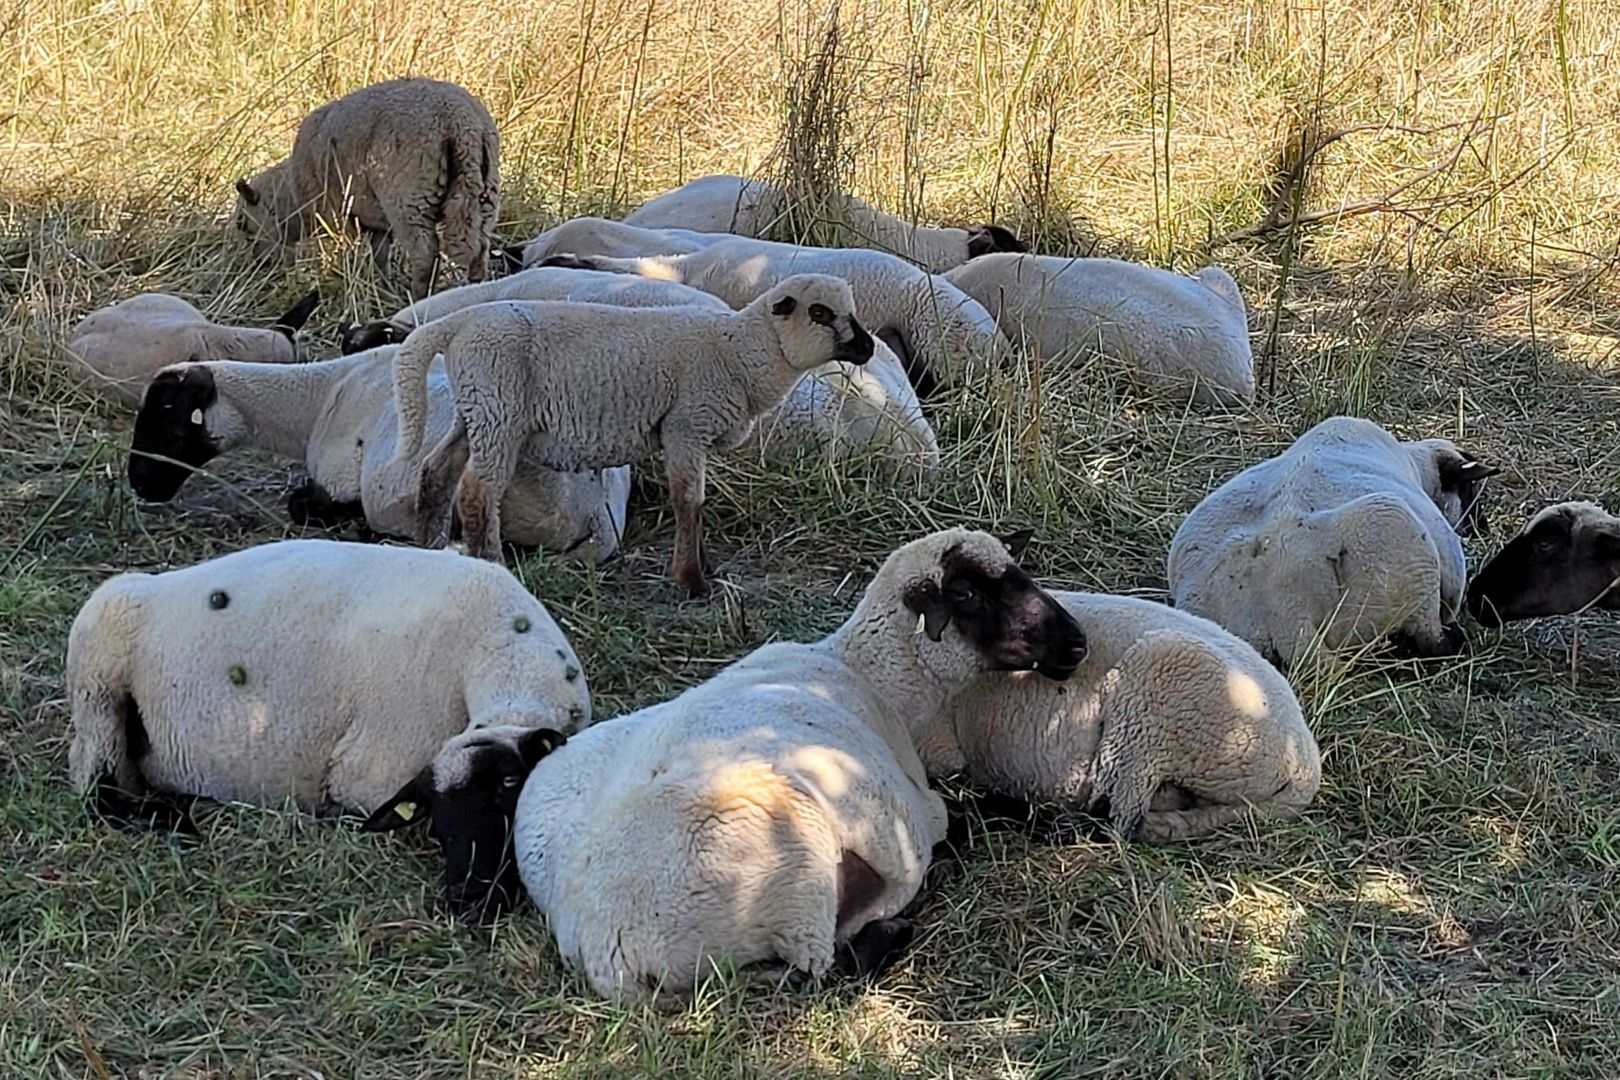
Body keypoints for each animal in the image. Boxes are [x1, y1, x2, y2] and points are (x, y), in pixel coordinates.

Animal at [126, 351, 630, 561]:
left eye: (168, 419)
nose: (139, 483)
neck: (317, 396)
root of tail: (591, 508)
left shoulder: (343, 475)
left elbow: (303, 502)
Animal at [233, 78, 499, 299]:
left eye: (243, 225)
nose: (260, 268)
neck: (294, 194)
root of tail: (459, 122)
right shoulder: (375, 221)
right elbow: (380, 253)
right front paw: (383, 285)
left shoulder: (338, 215)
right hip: (484, 193)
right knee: (480, 249)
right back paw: (475, 288)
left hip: (408, 199)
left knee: (425, 255)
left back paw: (418, 297)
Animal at [363, 527, 1088, 1002]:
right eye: (967, 595)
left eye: (1019, 574)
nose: (1076, 645)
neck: (870, 678)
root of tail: (609, 946)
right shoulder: (922, 813)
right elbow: (976, 813)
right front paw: (1056, 824)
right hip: (796, 875)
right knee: (820, 970)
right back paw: (890, 930)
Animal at [388, 274, 877, 595]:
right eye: (819, 313)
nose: (869, 347)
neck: (740, 351)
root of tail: (458, 323)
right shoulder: (685, 426)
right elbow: (689, 501)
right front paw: (692, 580)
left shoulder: (691, 434)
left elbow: (696, 503)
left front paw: (705, 567)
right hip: (499, 412)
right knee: (478, 490)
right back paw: (490, 562)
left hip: (476, 408)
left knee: (437, 471)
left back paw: (430, 546)